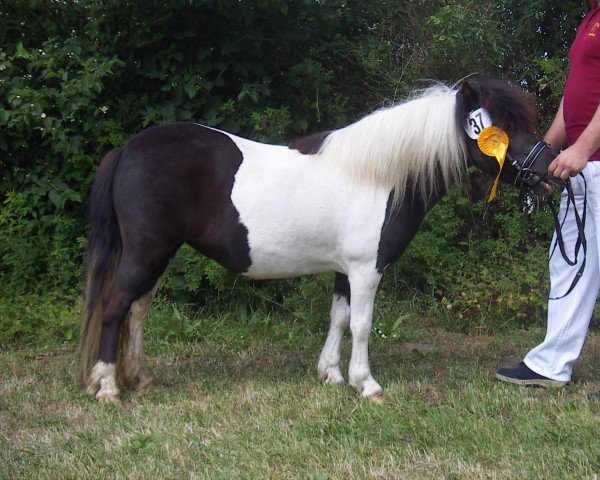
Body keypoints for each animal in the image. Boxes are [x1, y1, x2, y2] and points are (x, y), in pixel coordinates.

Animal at [77, 79, 560, 402]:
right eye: (503, 126)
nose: (550, 170)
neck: (379, 176)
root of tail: (128, 149)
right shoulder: (367, 269)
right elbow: (362, 324)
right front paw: (366, 384)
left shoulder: (346, 271)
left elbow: (339, 319)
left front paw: (331, 374)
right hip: (146, 252)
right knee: (116, 304)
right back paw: (108, 386)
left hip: (160, 254)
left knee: (138, 309)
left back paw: (139, 377)